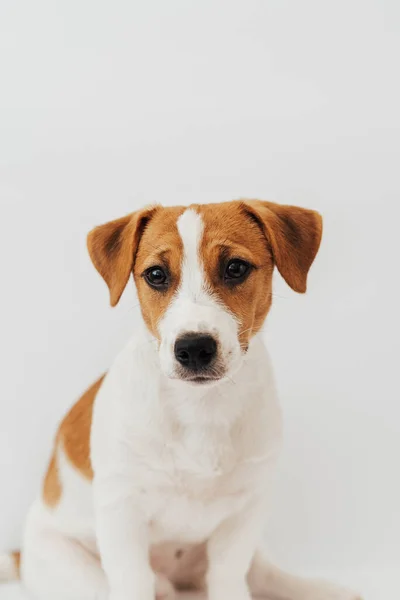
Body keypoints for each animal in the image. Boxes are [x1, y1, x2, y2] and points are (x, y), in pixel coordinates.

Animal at [0, 200, 360, 600]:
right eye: (156, 274)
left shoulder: (246, 510)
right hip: (79, 573)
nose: (194, 347)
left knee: (263, 574)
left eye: (235, 268)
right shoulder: (122, 509)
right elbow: (132, 580)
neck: (201, 406)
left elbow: (230, 577)